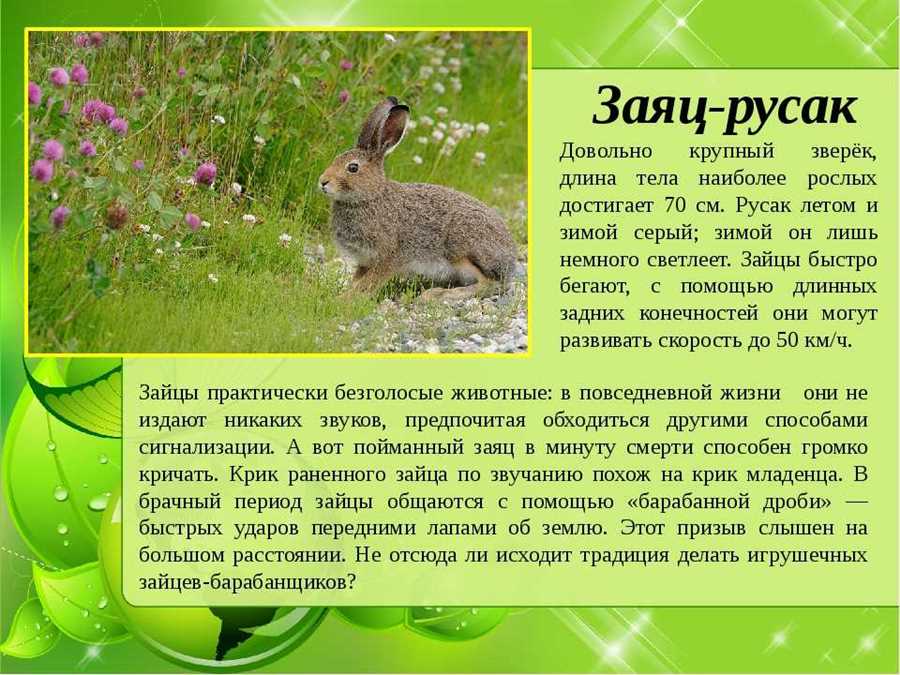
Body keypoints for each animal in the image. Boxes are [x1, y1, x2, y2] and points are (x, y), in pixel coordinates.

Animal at [318, 97, 518, 298]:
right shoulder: (365, 261)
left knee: (490, 284)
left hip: (462, 251)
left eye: (353, 168)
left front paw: (344, 299)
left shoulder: (389, 257)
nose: (323, 182)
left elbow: (368, 283)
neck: (370, 196)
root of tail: (509, 259)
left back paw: (437, 294)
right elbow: (358, 280)